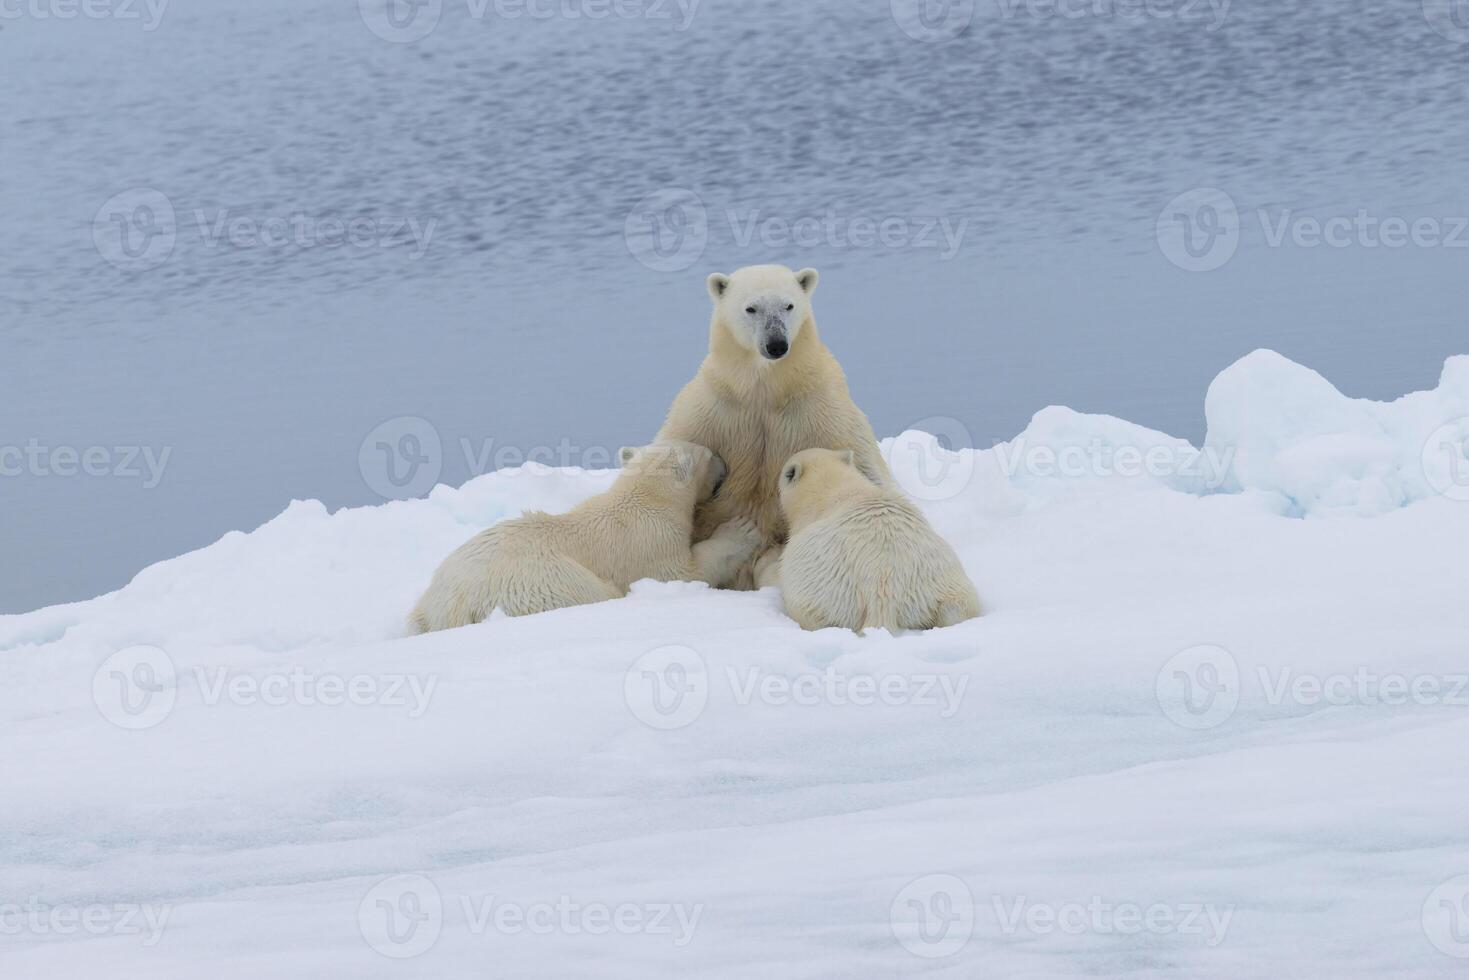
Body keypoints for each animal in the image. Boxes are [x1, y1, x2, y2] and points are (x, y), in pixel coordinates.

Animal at [661, 262, 887, 590]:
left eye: (788, 305)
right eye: (751, 308)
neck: (765, 390)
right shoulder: (711, 408)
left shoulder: (820, 406)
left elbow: (864, 462)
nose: (777, 344)